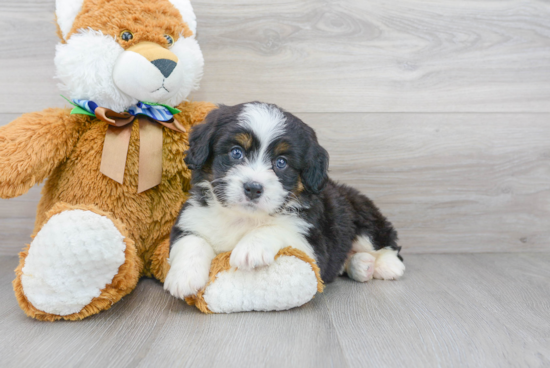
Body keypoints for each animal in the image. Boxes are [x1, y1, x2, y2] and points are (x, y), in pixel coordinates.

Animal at [164, 101, 406, 300]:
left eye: (281, 162)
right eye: (236, 152)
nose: (253, 188)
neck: (243, 218)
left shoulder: (313, 247)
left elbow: (276, 228)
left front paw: (251, 247)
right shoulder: (191, 218)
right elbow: (191, 241)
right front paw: (184, 277)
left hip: (363, 216)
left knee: (386, 243)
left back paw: (386, 265)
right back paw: (361, 265)